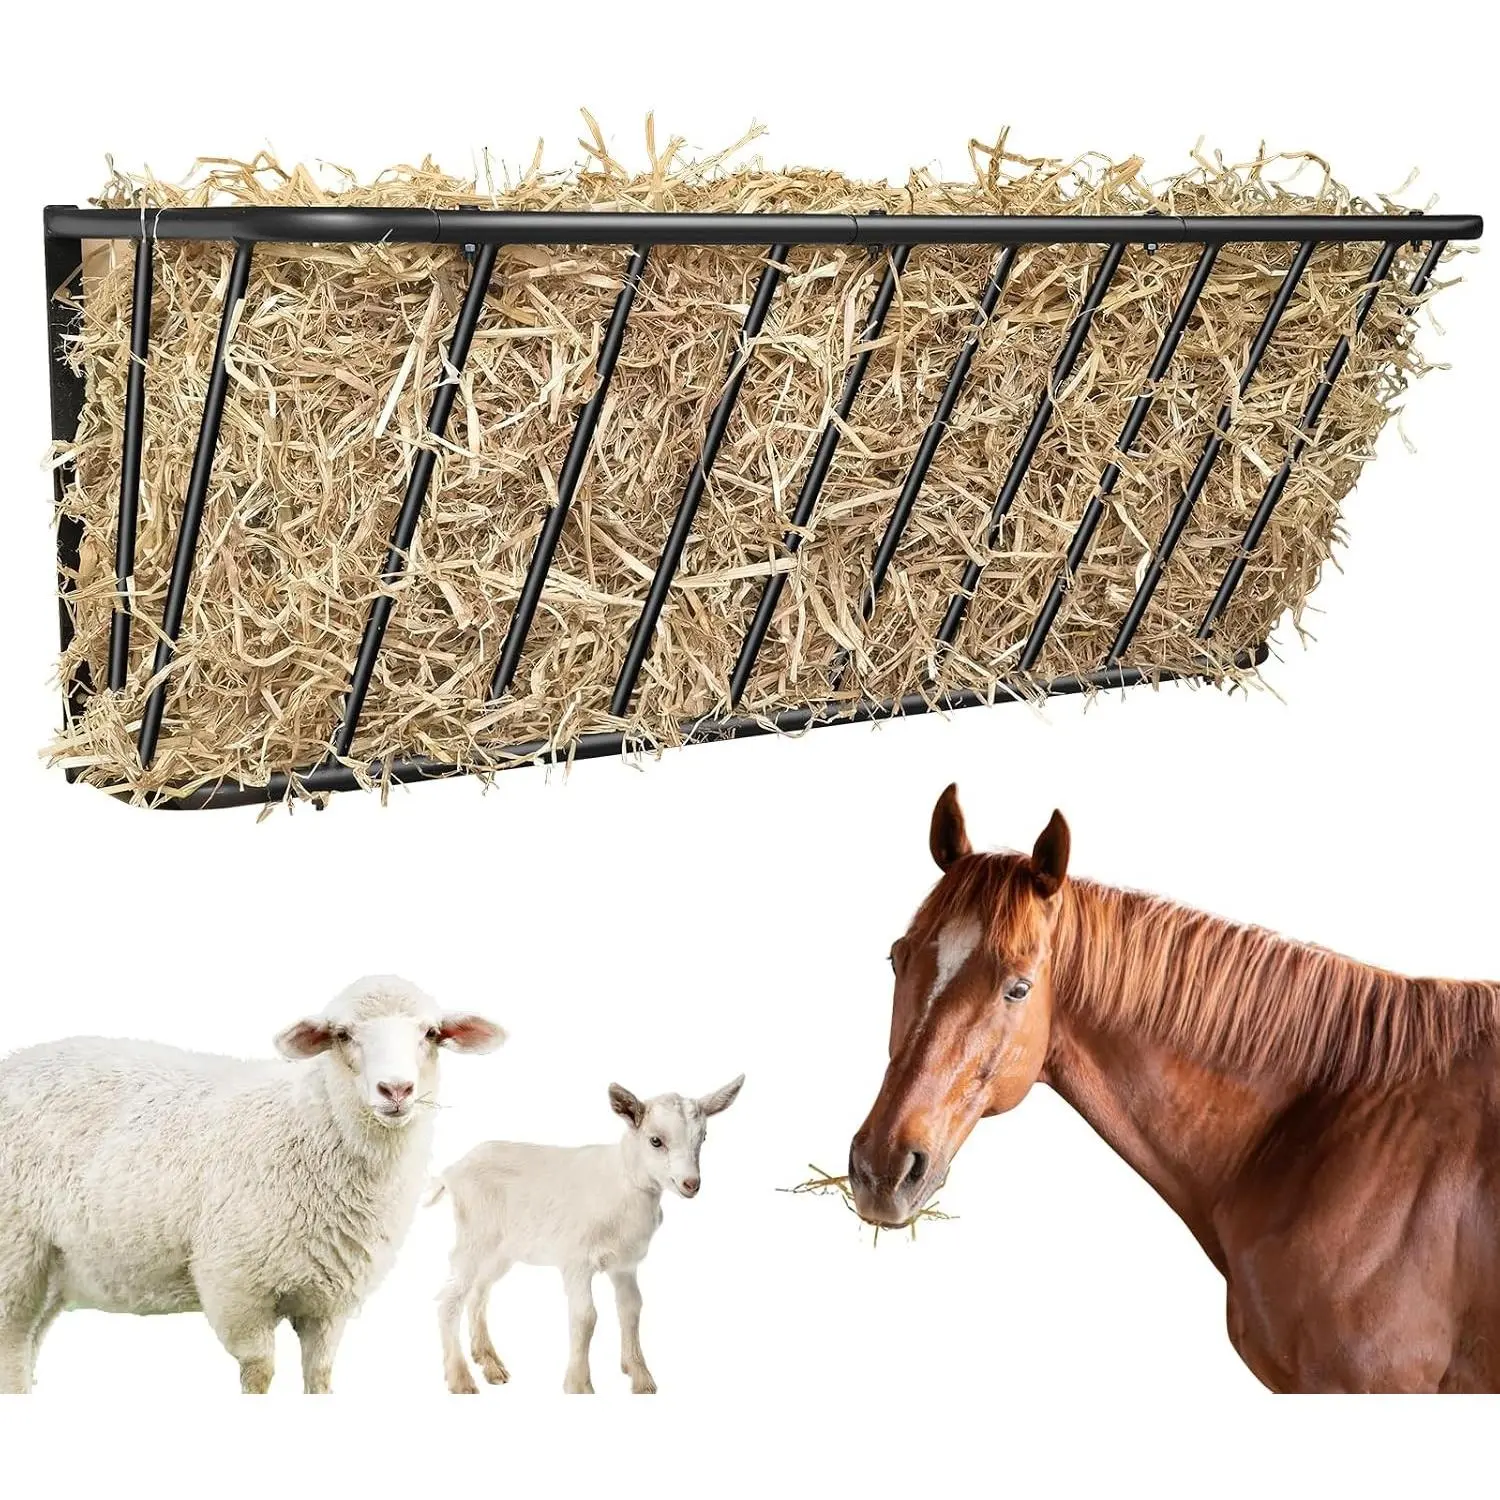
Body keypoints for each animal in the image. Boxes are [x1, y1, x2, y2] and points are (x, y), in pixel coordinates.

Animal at [0, 975, 504, 1393]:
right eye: (343, 1034)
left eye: (431, 1033)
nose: (395, 1090)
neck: (311, 1127)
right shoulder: (235, 1287)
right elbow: (259, 1372)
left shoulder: (329, 1302)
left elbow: (320, 1375)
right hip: (13, 1252)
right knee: (11, 1345)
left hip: (53, 1266)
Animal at [432, 1073, 744, 1395]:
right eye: (656, 1140)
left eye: (703, 1137)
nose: (691, 1184)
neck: (622, 1181)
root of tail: (451, 1171)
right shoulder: (576, 1260)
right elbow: (585, 1316)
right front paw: (579, 1385)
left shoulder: (625, 1264)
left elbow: (631, 1308)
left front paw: (640, 1377)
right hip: (473, 1237)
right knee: (449, 1301)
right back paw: (461, 1379)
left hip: (501, 1251)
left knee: (478, 1293)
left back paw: (490, 1364)